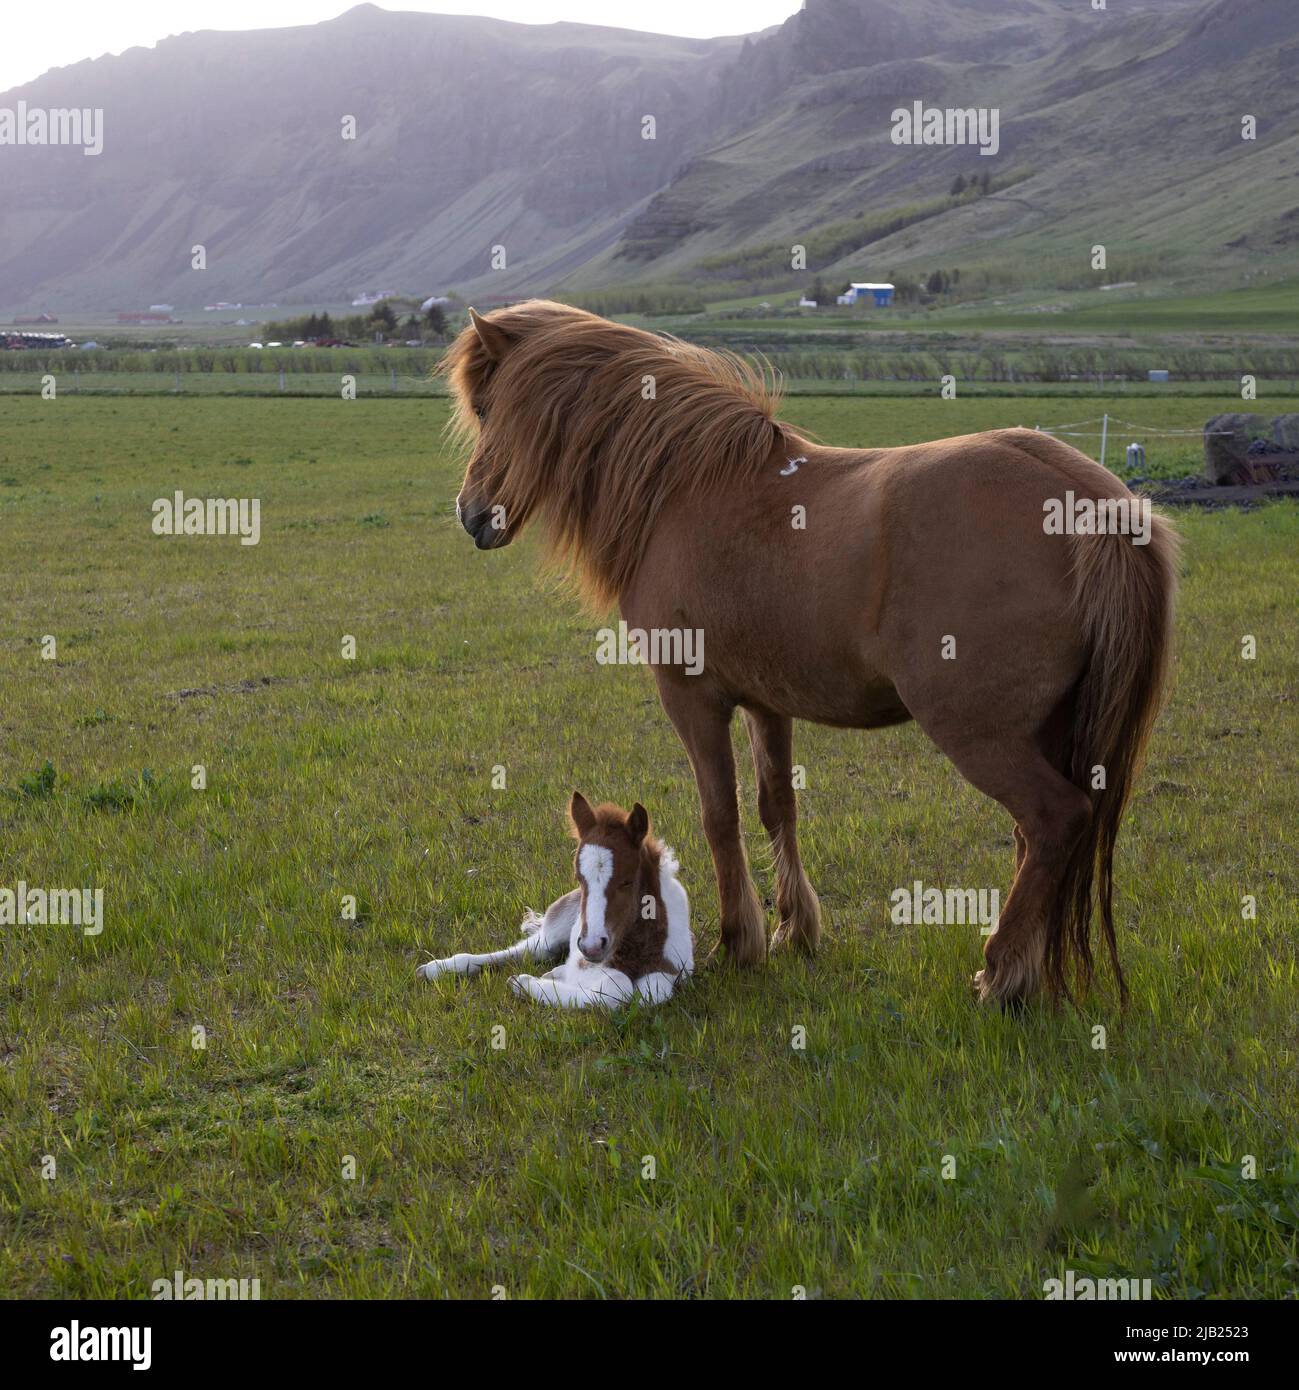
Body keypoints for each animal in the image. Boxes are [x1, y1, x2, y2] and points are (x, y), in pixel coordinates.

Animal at [418, 793, 693, 1009]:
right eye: (579, 878)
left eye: (627, 881)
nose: (593, 946)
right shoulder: (585, 963)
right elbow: (618, 986)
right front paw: (524, 983)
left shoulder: (671, 971)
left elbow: (648, 994)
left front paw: (534, 982)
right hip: (556, 930)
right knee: (525, 951)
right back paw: (436, 969)